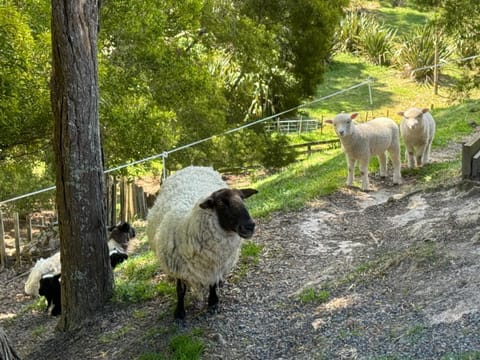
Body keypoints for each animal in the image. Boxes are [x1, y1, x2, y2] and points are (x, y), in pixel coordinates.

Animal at [147, 166, 256, 320]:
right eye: (221, 203)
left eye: (242, 199)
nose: (250, 226)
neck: (187, 226)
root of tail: (192, 167)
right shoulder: (178, 267)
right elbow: (180, 290)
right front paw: (179, 313)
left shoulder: (215, 264)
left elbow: (213, 284)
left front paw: (213, 302)